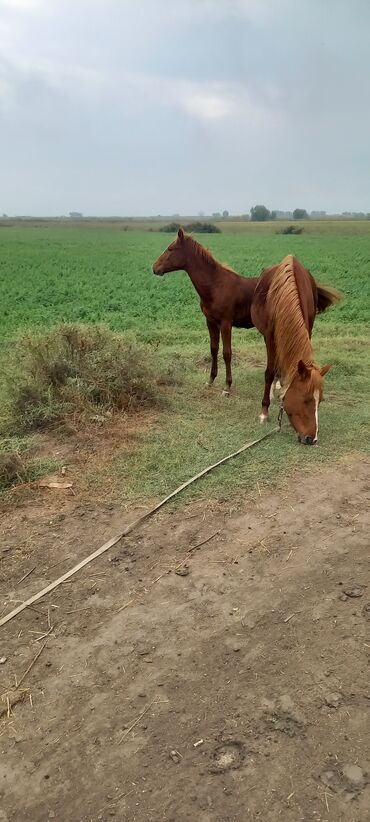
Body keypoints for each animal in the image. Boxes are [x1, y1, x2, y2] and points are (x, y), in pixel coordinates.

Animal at [152, 229, 258, 396]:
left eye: (171, 249)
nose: (155, 268)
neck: (215, 285)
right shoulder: (211, 322)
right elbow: (214, 349)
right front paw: (210, 380)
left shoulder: (226, 324)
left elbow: (227, 353)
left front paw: (227, 387)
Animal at [250, 254, 340, 444]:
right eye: (306, 400)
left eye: (320, 401)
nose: (312, 438)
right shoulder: (269, 337)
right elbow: (269, 372)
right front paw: (264, 412)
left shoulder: (308, 328)